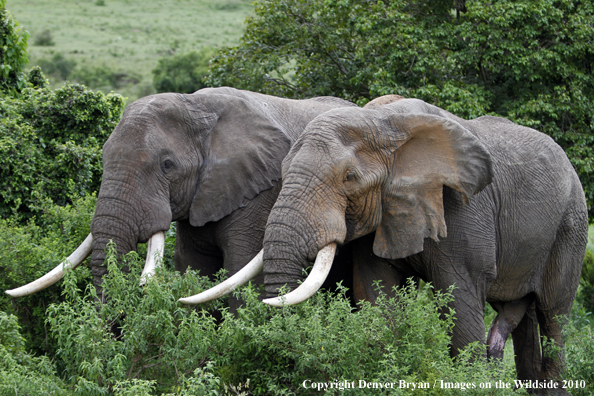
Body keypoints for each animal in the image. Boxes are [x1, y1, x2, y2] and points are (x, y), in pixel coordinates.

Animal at [6, 86, 354, 310]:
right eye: (102, 159)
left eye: (167, 166)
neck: (198, 106)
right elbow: (193, 271)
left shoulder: (258, 194)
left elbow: (238, 274)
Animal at [252, 98, 584, 390]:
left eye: (349, 177)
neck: (383, 123)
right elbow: (377, 294)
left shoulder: (462, 208)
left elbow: (459, 299)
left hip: (571, 226)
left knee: (554, 317)